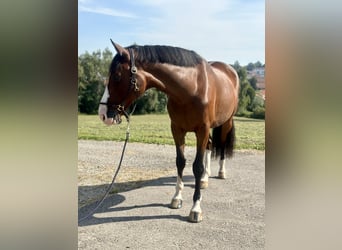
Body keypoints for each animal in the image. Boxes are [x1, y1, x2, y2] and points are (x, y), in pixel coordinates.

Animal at [97, 40, 239, 223]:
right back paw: (205, 179)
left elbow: (197, 166)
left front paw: (196, 208)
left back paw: (221, 172)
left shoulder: (202, 130)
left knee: (220, 145)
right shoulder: (177, 129)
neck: (192, 87)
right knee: (209, 145)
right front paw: (177, 198)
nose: (102, 114)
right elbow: (180, 162)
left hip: (226, 122)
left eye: (116, 76)